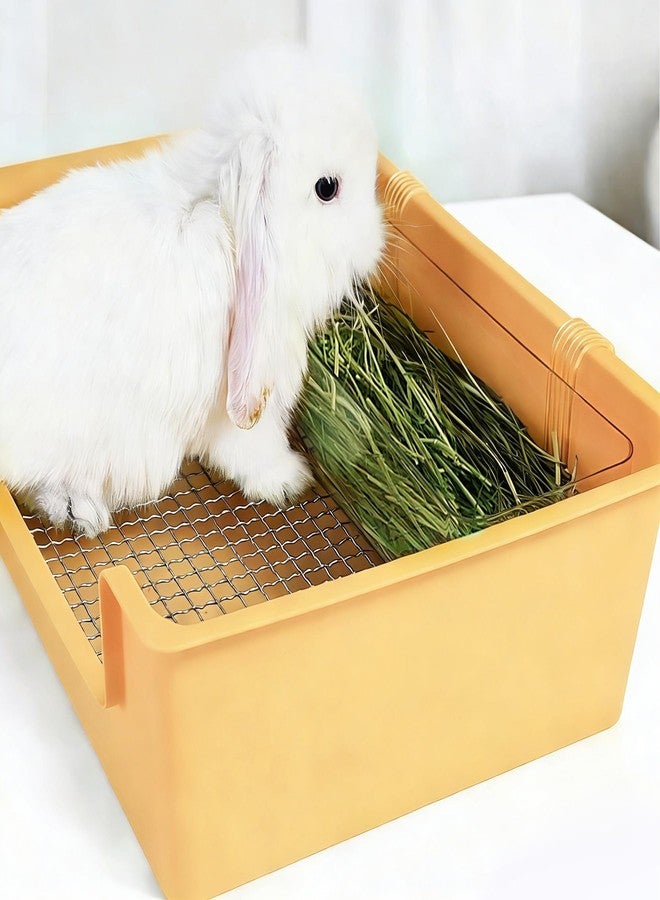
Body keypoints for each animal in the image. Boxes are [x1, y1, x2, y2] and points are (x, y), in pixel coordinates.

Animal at [0, 48, 384, 536]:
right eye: (326, 188)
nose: (375, 243)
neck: (216, 208)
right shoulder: (241, 404)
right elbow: (254, 448)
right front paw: (291, 480)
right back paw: (79, 509)